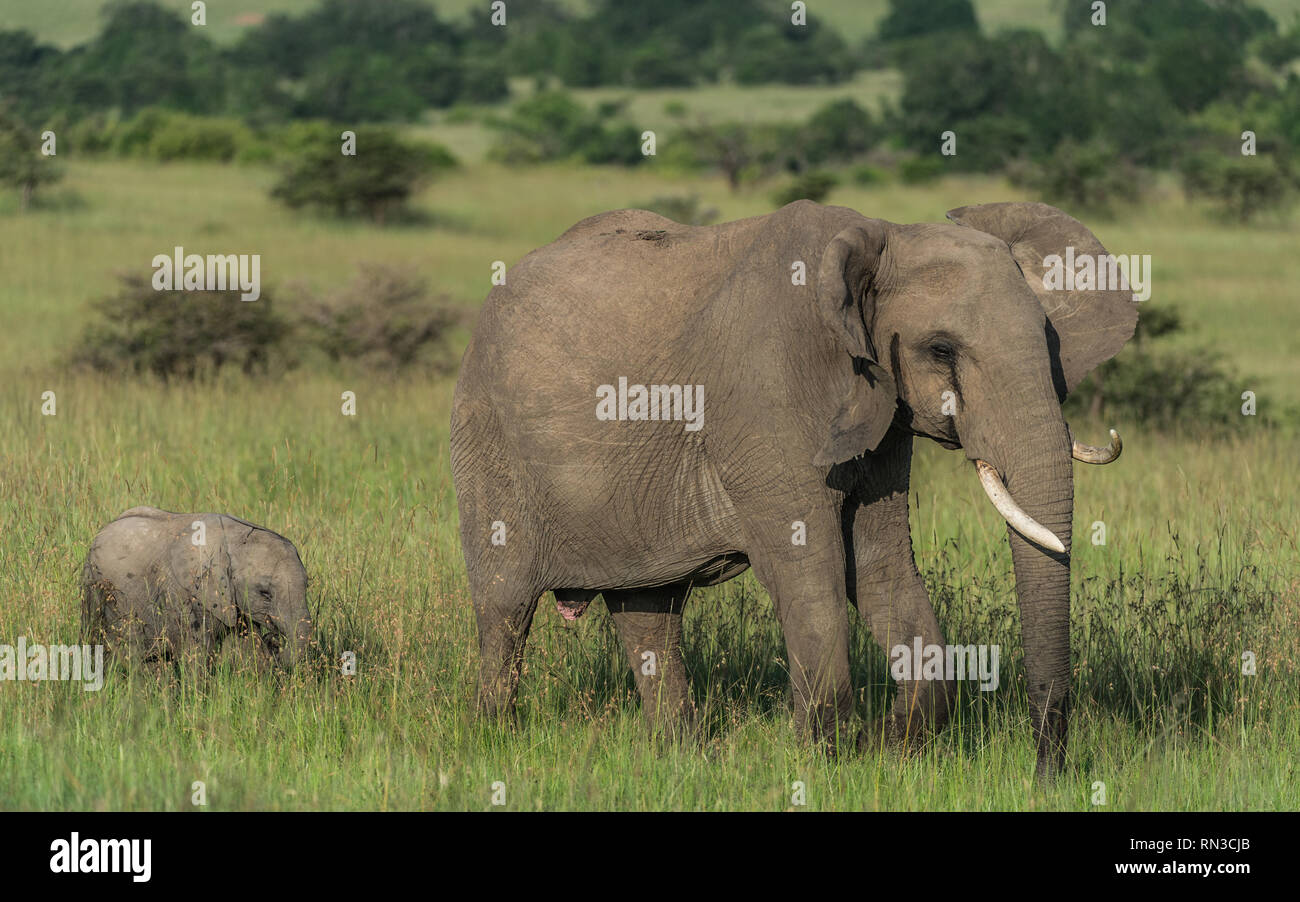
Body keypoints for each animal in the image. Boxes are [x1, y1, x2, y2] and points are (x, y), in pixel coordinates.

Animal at [81, 509, 314, 670]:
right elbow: (196, 653)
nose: (274, 643)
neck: (232, 540)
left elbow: (246, 648)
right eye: (265, 593)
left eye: (307, 586)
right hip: (99, 589)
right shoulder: (184, 594)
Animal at [449, 201, 1138, 779]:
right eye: (941, 349)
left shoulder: (880, 416)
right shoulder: (767, 395)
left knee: (646, 610)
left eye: (1051, 346)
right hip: (486, 441)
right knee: (505, 609)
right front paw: (824, 762)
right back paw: (495, 740)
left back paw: (681, 755)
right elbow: (810, 570)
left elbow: (881, 566)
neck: (881, 234)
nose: (1046, 772)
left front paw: (889, 751)